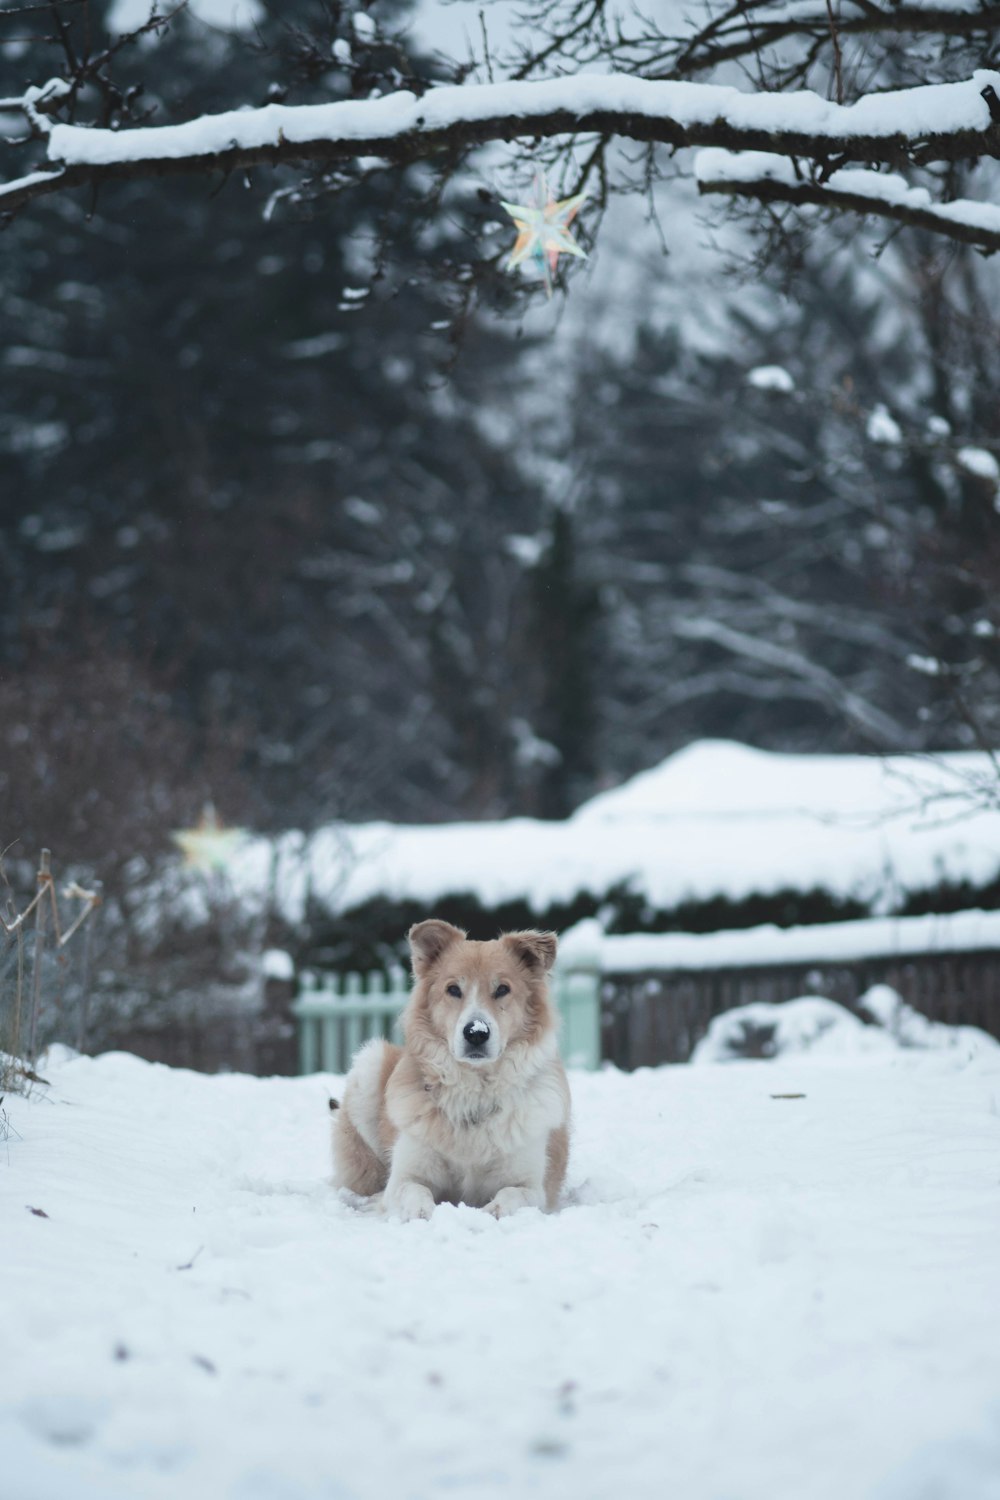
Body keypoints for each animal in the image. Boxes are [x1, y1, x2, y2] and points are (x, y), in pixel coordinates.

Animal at [332, 912, 569, 1218]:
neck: (474, 1090)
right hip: (369, 1064)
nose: (476, 1033)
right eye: (453, 989)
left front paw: (490, 1212)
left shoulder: (531, 1186)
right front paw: (425, 1214)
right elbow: (415, 1193)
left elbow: (509, 1196)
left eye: (502, 989)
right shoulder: (405, 1177)